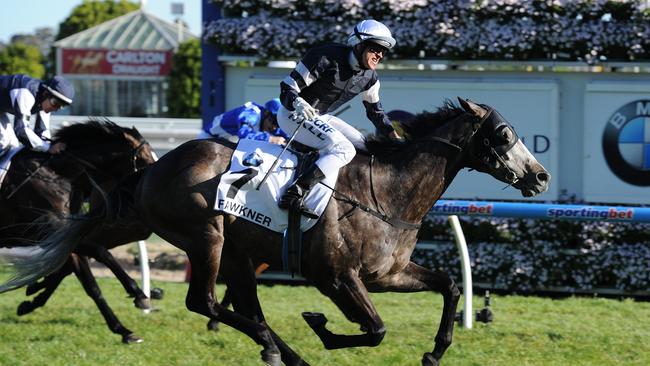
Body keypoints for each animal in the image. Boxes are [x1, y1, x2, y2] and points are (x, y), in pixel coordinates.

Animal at [3, 98, 552, 364]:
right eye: (504, 134)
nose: (541, 176)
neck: (388, 193)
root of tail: (153, 167)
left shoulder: (388, 274)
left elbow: (450, 285)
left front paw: (436, 350)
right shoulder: (337, 277)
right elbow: (374, 329)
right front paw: (322, 327)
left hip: (227, 248)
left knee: (239, 305)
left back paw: (275, 349)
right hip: (206, 236)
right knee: (205, 301)